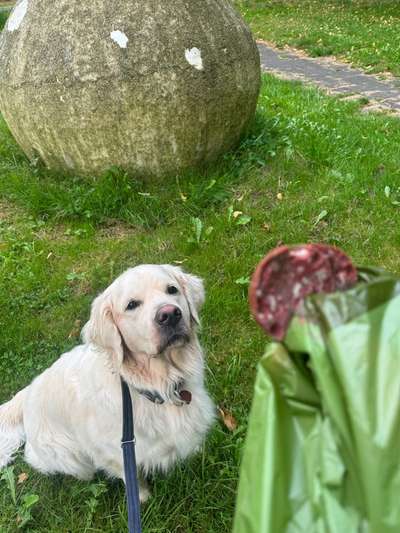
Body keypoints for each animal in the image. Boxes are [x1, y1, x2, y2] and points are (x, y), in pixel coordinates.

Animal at [0, 264, 216, 500]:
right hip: (67, 456)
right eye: (132, 305)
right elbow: (133, 479)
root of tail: (27, 392)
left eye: (172, 289)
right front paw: (144, 499)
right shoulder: (115, 454)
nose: (169, 314)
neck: (154, 385)